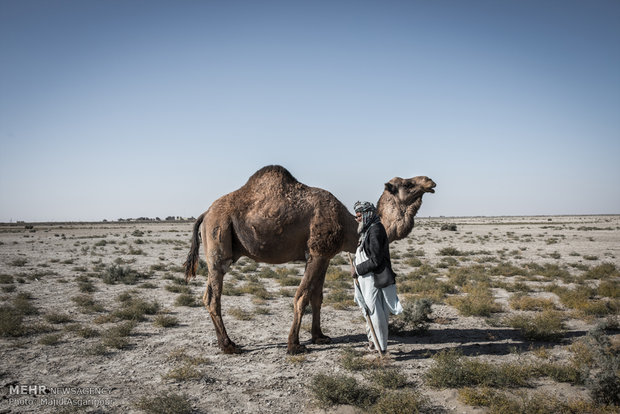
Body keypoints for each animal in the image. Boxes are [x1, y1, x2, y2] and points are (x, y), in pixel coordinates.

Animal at [184, 164, 436, 352]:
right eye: (407, 184)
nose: (430, 181)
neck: (350, 227)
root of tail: (206, 213)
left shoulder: (325, 256)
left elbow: (317, 297)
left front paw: (319, 336)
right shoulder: (316, 252)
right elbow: (302, 297)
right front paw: (294, 345)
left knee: (209, 296)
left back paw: (224, 343)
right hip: (218, 241)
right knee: (213, 297)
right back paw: (229, 345)